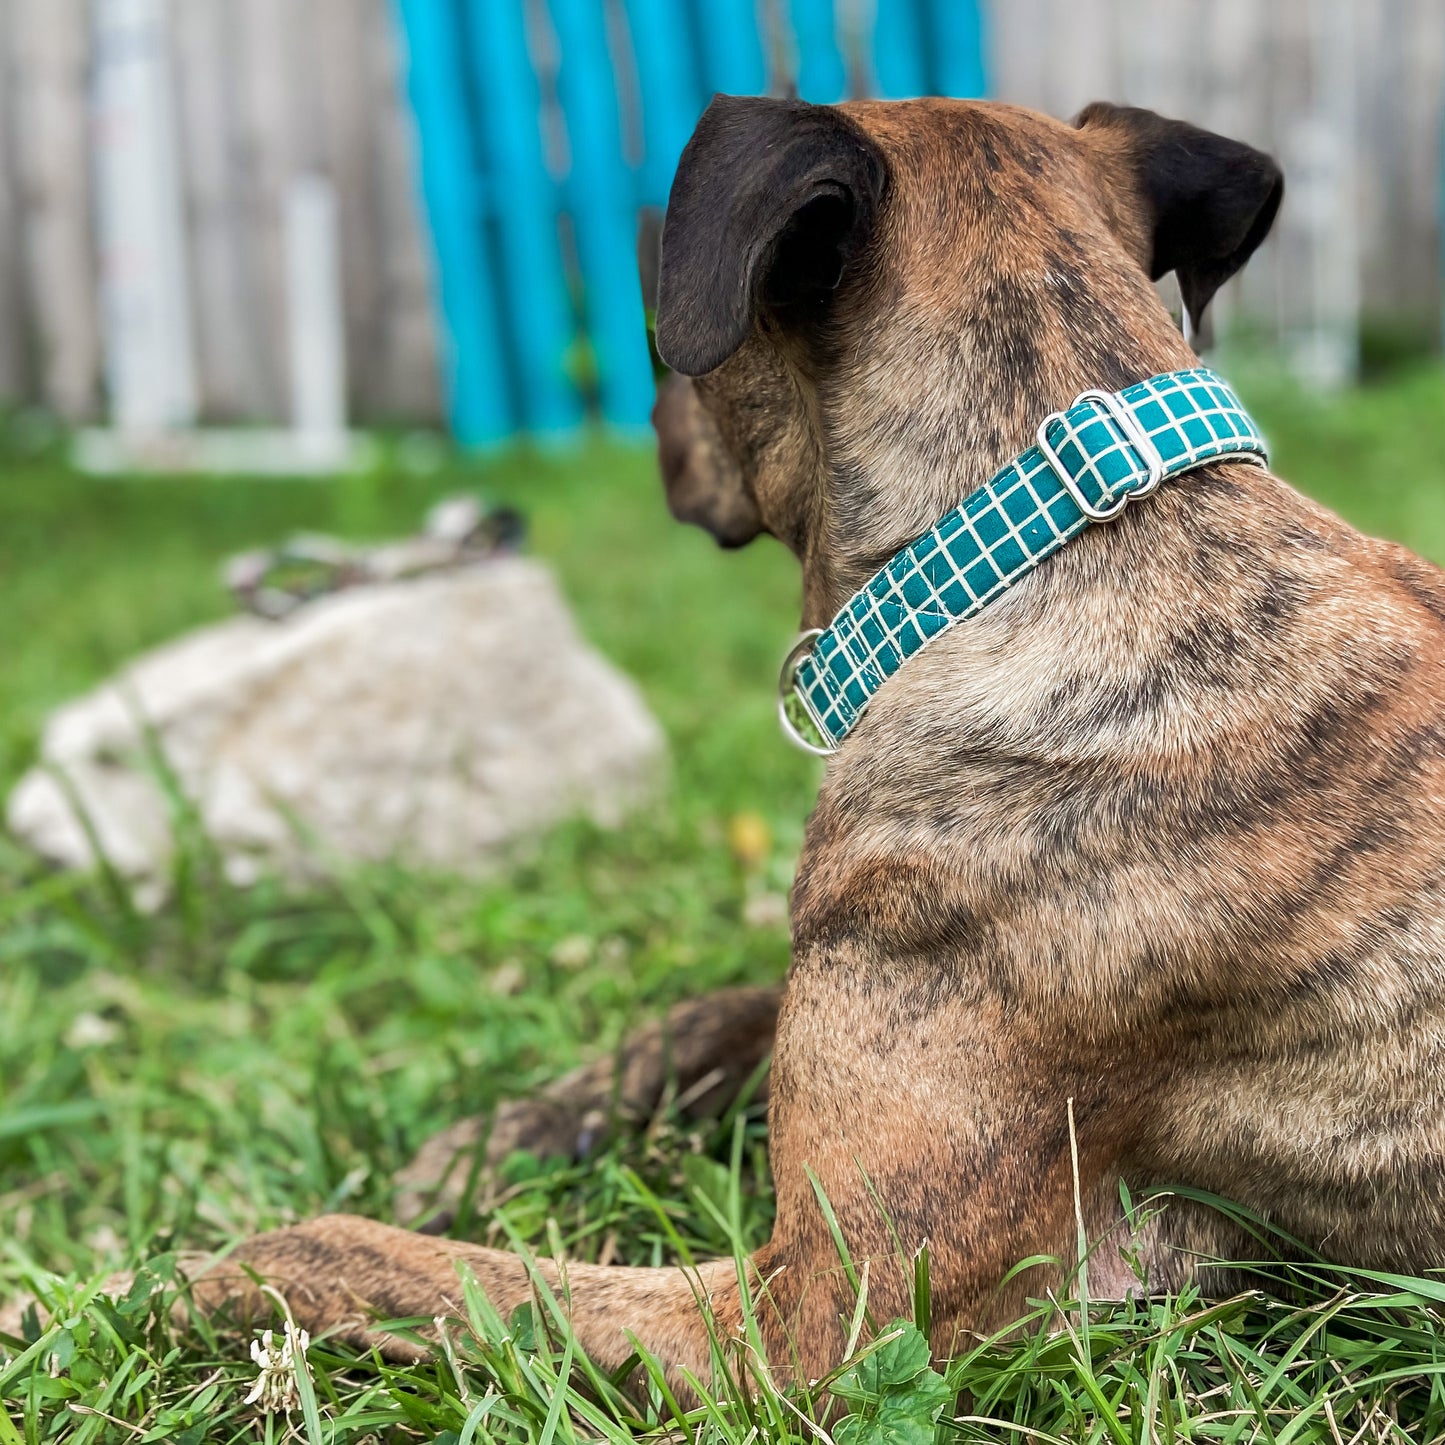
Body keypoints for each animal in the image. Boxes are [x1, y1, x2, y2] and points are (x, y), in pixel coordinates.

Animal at [48, 96, 1445, 1381]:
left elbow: (390, 1260)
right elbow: (709, 1008)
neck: (1039, 552)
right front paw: (507, 1131)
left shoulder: (804, 1318)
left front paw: (148, 1283)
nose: (651, 437)